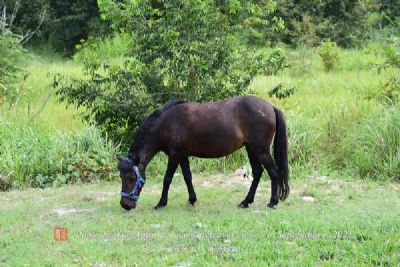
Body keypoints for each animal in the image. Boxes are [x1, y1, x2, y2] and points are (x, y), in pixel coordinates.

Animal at [117, 96, 290, 211]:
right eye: (121, 176)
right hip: (251, 149)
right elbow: (187, 177)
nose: (125, 205)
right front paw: (192, 200)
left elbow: (167, 179)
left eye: (132, 177)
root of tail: (270, 107)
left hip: (261, 150)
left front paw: (161, 203)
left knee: (273, 172)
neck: (166, 123)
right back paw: (245, 202)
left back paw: (272, 202)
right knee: (258, 172)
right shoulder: (182, 155)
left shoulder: (174, 155)